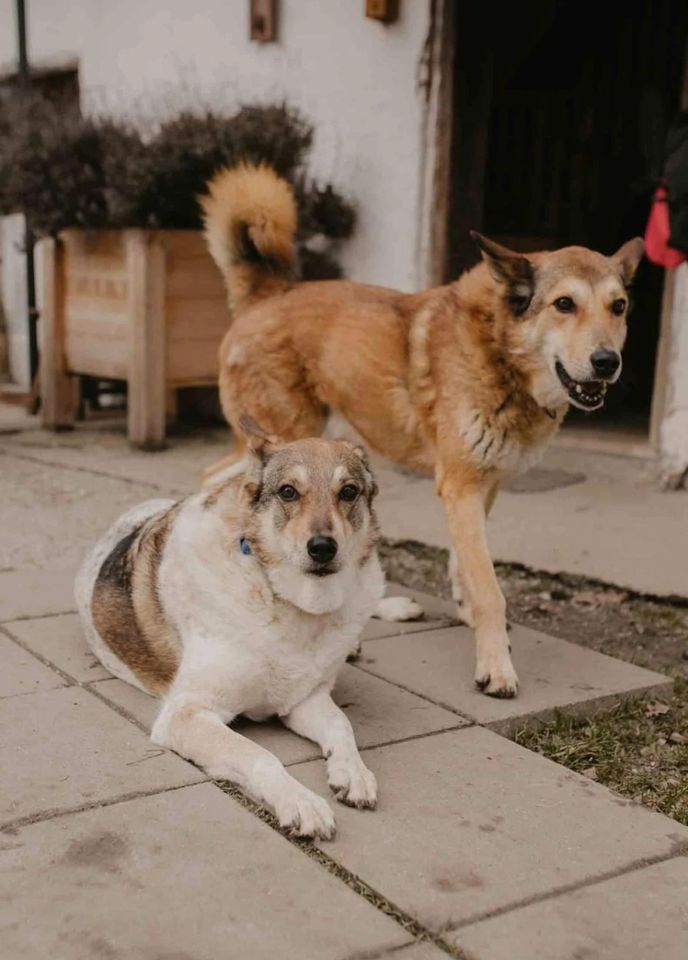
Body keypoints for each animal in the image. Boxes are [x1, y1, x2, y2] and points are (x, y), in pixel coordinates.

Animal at [74, 420, 420, 840]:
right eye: (288, 491)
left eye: (348, 492)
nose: (323, 547)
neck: (288, 602)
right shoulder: (186, 714)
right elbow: (260, 755)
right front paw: (300, 801)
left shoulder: (305, 701)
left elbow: (342, 726)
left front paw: (352, 771)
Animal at [199, 161, 644, 692]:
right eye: (564, 304)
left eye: (618, 307)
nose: (608, 362)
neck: (500, 352)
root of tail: (267, 293)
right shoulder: (461, 484)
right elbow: (490, 586)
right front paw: (496, 664)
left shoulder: (478, 485)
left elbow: (464, 562)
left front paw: (468, 611)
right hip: (284, 438)